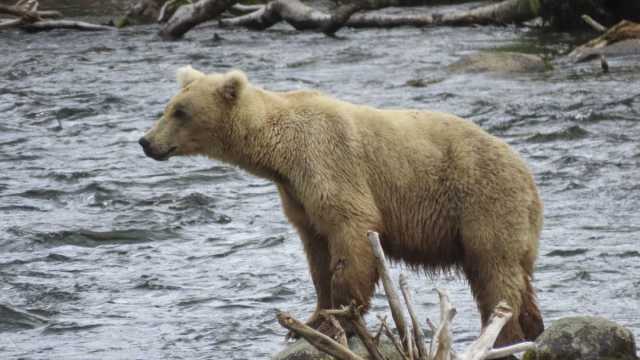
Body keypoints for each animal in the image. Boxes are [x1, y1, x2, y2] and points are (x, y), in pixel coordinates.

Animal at [138, 66, 544, 348]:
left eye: (181, 112)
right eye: (168, 107)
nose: (146, 141)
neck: (279, 155)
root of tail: (528, 176)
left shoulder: (327, 164)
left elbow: (351, 233)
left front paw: (341, 319)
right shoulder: (297, 196)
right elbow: (317, 253)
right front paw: (310, 320)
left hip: (483, 202)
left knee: (494, 273)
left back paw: (505, 334)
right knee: (518, 278)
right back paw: (532, 327)